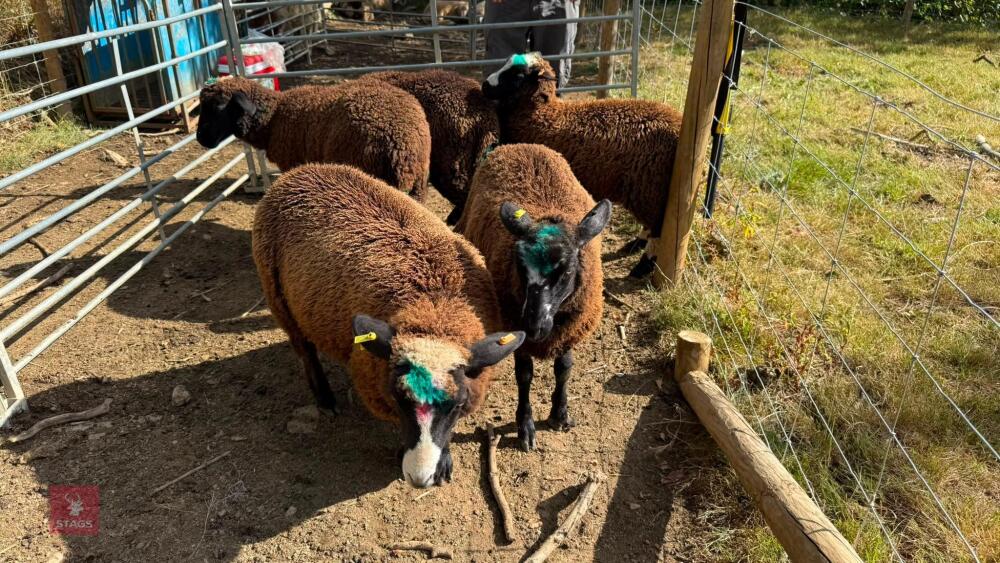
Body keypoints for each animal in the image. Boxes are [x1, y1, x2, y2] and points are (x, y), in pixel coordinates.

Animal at [253, 163, 525, 487]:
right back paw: (326, 400)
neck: (434, 307)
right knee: (305, 351)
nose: (420, 479)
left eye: (457, 405)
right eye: (398, 399)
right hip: (279, 299)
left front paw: (443, 462)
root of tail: (299, 171)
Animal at [455, 144, 611, 451]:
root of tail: (517, 145)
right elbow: (524, 375)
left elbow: (564, 369)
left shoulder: (570, 330)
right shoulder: (519, 332)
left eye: (567, 271)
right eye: (519, 265)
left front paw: (560, 413)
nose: (534, 325)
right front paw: (525, 426)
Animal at [482, 52, 683, 277]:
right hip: (652, 189)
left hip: (649, 186)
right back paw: (635, 245)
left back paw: (642, 265)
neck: (540, 115)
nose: (484, 85)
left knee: (657, 226)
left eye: (518, 76)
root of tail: (677, 126)